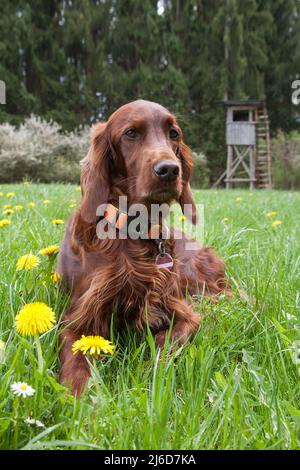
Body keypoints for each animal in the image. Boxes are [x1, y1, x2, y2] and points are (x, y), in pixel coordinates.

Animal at [57, 100, 229, 396]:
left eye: (174, 133)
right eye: (130, 133)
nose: (169, 169)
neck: (136, 232)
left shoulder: (180, 310)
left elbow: (171, 339)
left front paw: (153, 374)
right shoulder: (78, 321)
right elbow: (76, 365)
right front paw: (78, 402)